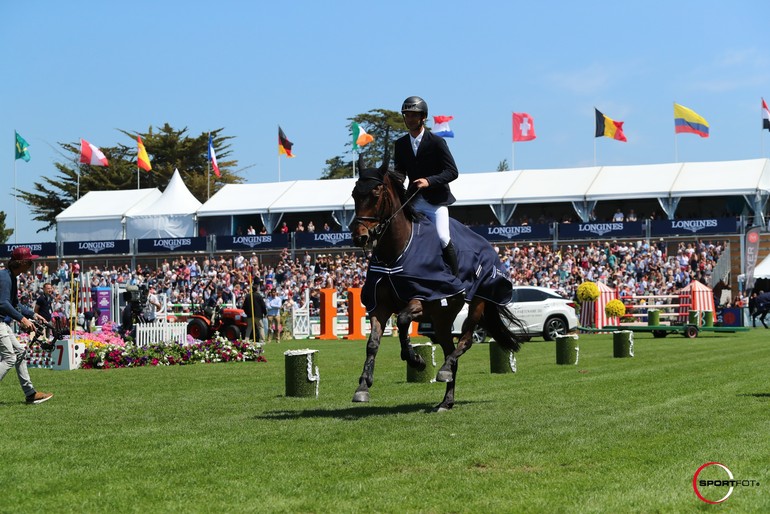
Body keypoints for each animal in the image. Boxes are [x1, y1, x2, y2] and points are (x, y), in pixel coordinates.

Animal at [350, 154, 524, 410]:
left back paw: (443, 372)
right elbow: (372, 343)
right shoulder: (379, 305)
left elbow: (403, 320)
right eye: (354, 193)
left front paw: (416, 360)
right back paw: (446, 400)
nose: (360, 236)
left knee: (465, 341)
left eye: (376, 193)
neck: (395, 252)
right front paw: (363, 387)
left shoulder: (425, 296)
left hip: (477, 302)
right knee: (450, 350)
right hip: (442, 320)